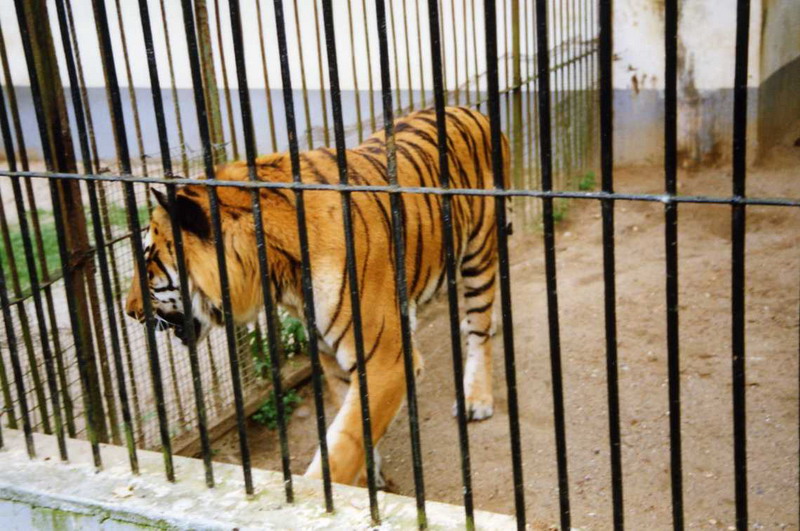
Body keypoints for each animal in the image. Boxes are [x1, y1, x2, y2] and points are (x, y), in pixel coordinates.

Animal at [125, 106, 511, 486]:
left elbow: (344, 444)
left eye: (148, 264)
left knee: (480, 329)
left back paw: (476, 398)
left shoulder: (386, 361)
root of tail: (473, 110)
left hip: (479, 252)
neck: (279, 279)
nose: (129, 311)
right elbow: (350, 424)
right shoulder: (331, 353)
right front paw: (367, 478)